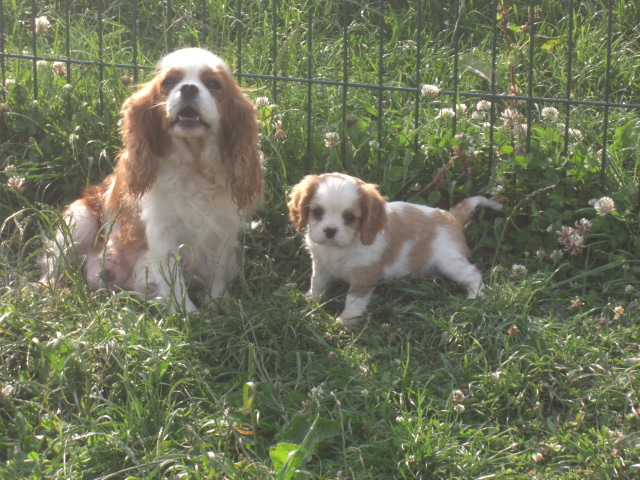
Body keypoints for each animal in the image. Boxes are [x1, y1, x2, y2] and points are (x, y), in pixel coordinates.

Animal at [47, 47, 263, 311]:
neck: (195, 167)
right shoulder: (162, 232)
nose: (188, 88)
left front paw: (218, 303)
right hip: (80, 219)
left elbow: (218, 270)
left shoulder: (222, 228)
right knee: (53, 262)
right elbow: (173, 278)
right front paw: (187, 312)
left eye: (213, 84)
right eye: (169, 82)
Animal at [288, 173, 502, 325]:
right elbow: (317, 283)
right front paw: (310, 301)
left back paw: (475, 297)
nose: (330, 231)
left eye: (349, 218)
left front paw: (346, 320)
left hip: (449, 261)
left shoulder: (365, 273)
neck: (338, 249)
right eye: (317, 212)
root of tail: (451, 216)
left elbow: (354, 299)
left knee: (472, 273)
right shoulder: (321, 264)